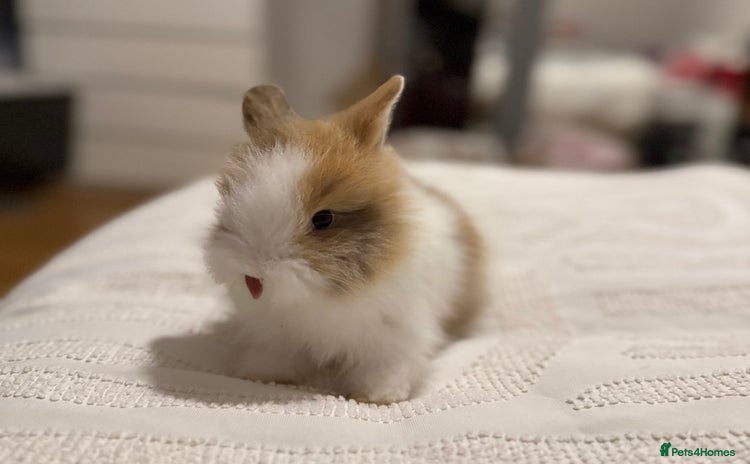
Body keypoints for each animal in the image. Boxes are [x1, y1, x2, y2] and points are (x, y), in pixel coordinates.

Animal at [203, 75, 486, 403]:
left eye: (323, 219)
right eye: (227, 202)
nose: (253, 274)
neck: (322, 295)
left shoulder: (395, 335)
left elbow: (387, 366)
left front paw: (377, 395)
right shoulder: (277, 333)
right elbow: (276, 355)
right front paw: (261, 375)